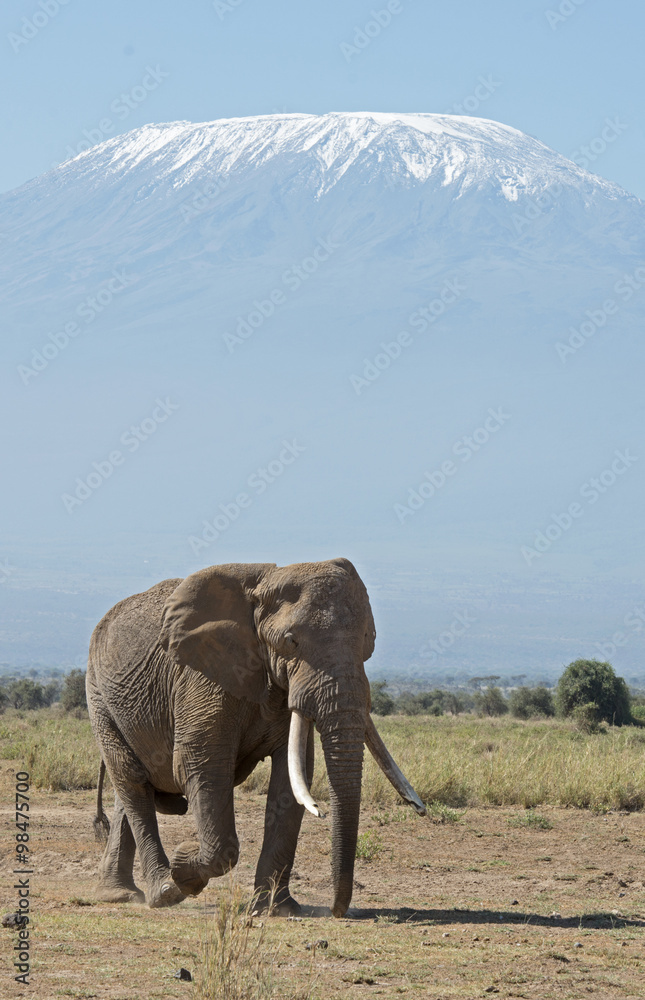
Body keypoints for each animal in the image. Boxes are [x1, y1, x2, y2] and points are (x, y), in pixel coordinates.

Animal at [86, 558, 425, 918]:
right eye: (291, 641)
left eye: (367, 641)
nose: (336, 911)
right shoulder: (204, 677)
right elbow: (200, 764)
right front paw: (183, 866)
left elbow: (292, 777)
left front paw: (277, 910)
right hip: (99, 696)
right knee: (132, 781)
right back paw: (163, 892)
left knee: (131, 789)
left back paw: (119, 894)